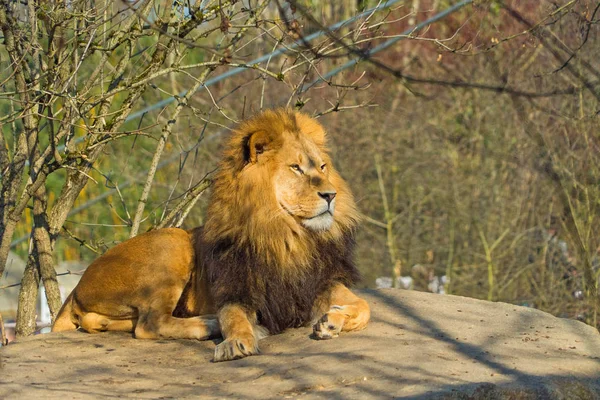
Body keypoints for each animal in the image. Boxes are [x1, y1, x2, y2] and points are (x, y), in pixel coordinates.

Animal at [51, 109, 370, 362]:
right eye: (295, 168)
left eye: (322, 167)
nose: (331, 195)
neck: (288, 236)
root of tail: (77, 287)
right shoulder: (237, 289)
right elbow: (234, 318)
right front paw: (236, 342)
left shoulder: (319, 283)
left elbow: (364, 307)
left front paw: (333, 320)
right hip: (172, 242)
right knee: (149, 324)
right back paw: (209, 324)